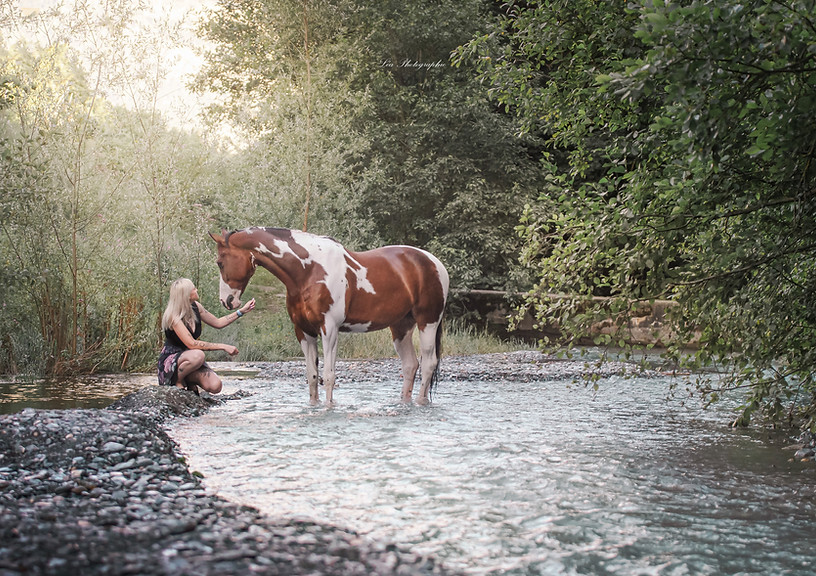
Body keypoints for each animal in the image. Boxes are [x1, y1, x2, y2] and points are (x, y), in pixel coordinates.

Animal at [209, 227, 450, 405]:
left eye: (220, 263)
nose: (227, 301)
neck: (308, 270)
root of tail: (434, 263)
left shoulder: (330, 329)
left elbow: (329, 375)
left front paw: (328, 408)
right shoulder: (304, 331)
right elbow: (312, 376)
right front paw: (314, 407)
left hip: (427, 322)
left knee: (428, 364)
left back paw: (420, 402)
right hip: (401, 327)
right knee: (410, 365)